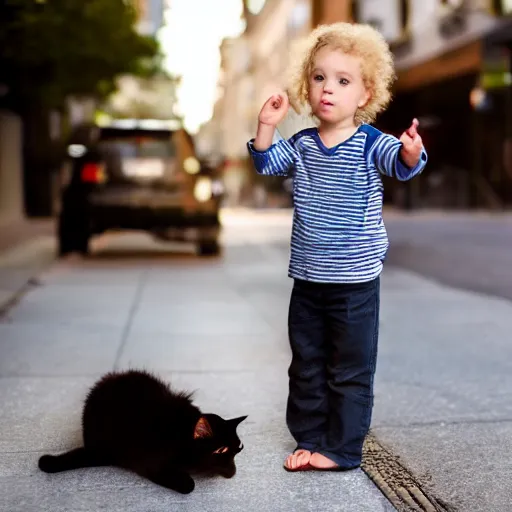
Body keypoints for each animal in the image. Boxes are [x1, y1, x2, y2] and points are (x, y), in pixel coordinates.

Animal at [39, 370, 247, 494]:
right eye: (220, 450)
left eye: (239, 448)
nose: (234, 471)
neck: (177, 435)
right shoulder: (148, 462)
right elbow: (189, 485)